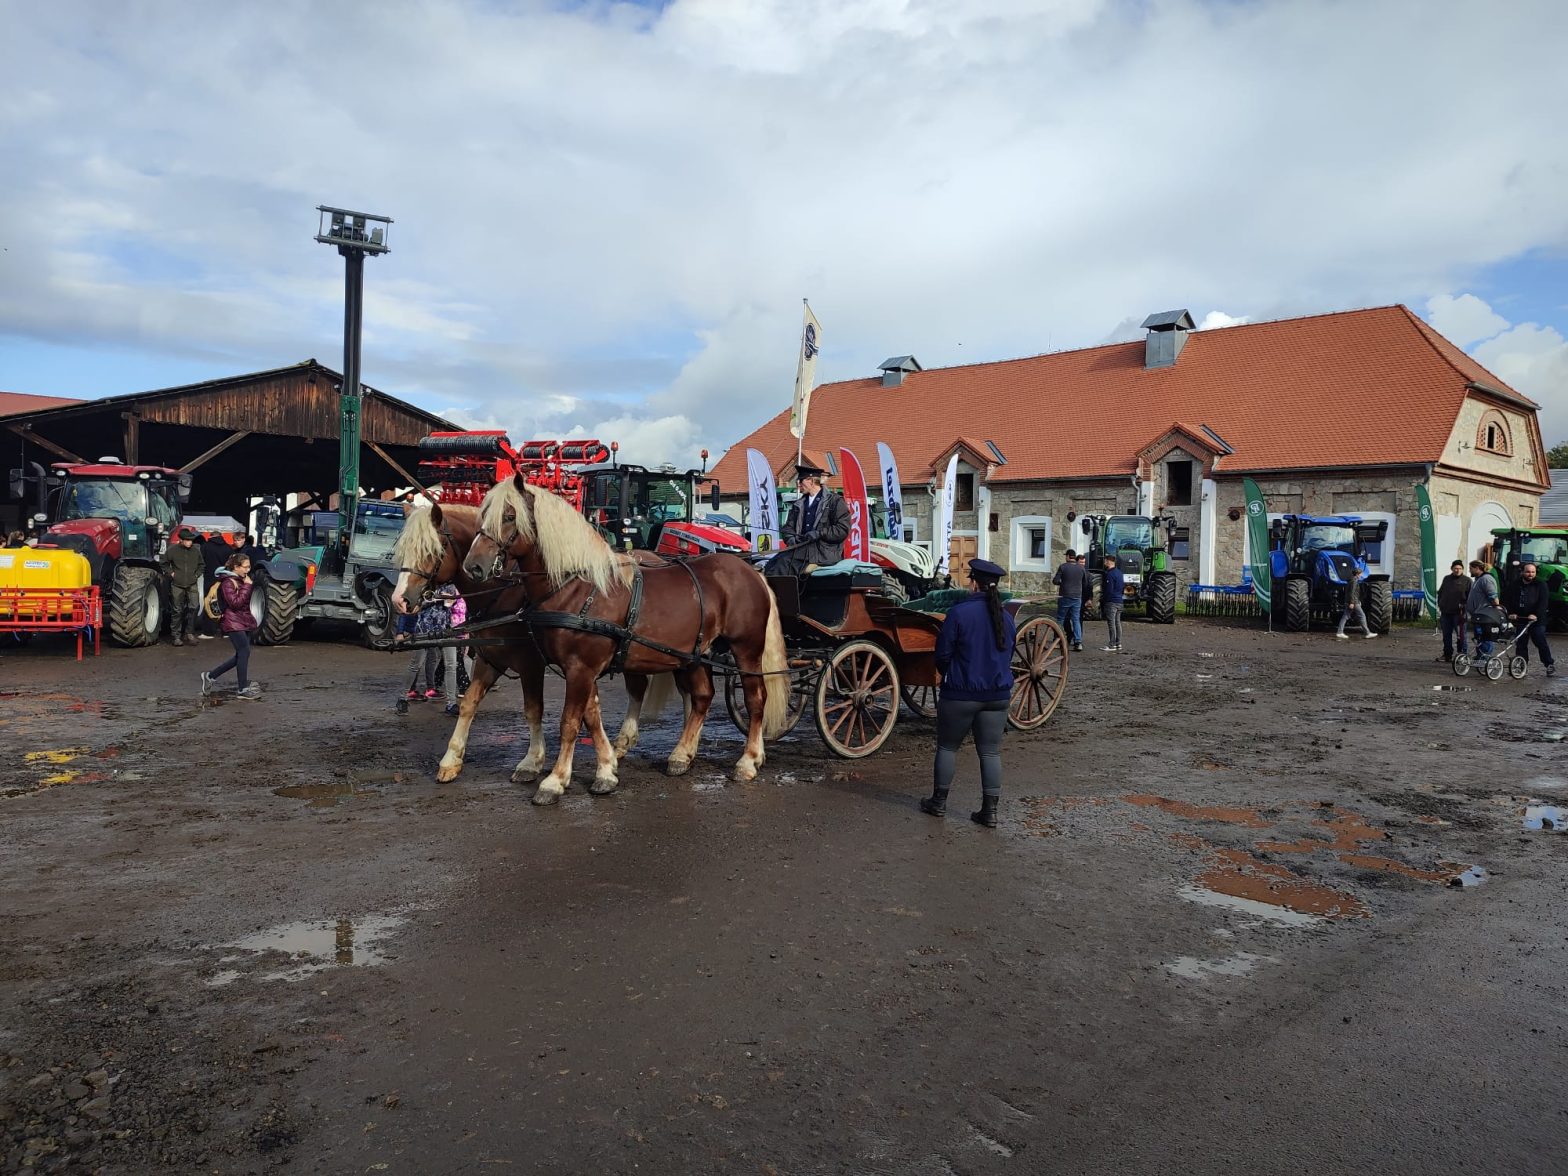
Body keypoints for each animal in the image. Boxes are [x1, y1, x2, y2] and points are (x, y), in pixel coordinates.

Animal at [388, 508, 671, 793]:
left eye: (431, 550)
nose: (400, 600)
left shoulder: (532, 664)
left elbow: (535, 710)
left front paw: (534, 762)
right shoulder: (490, 659)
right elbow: (469, 703)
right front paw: (451, 760)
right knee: (637, 689)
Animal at [457, 473, 790, 809]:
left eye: (510, 516)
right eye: (484, 514)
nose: (473, 566)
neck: (578, 586)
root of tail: (751, 571)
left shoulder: (580, 668)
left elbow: (570, 722)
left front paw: (554, 781)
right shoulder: (582, 669)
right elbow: (590, 716)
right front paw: (605, 770)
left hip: (746, 650)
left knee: (755, 699)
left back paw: (748, 760)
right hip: (698, 653)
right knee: (701, 697)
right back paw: (682, 755)